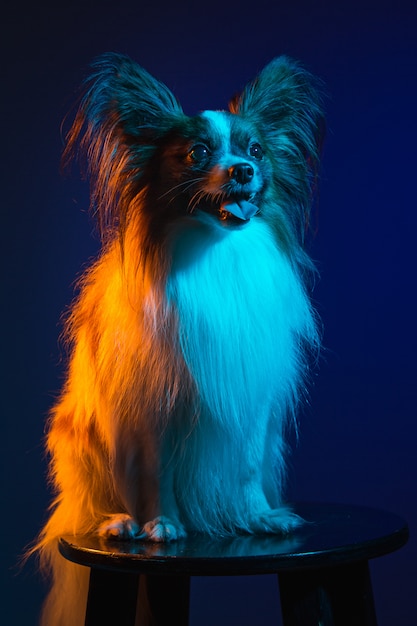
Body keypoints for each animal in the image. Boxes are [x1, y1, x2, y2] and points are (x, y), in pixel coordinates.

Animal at [34, 54, 324, 624]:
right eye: (198, 154)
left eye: (256, 151)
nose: (243, 171)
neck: (215, 250)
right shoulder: (152, 406)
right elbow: (155, 471)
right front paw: (161, 524)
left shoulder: (250, 398)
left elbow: (247, 464)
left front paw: (258, 515)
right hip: (84, 439)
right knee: (98, 500)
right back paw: (121, 521)